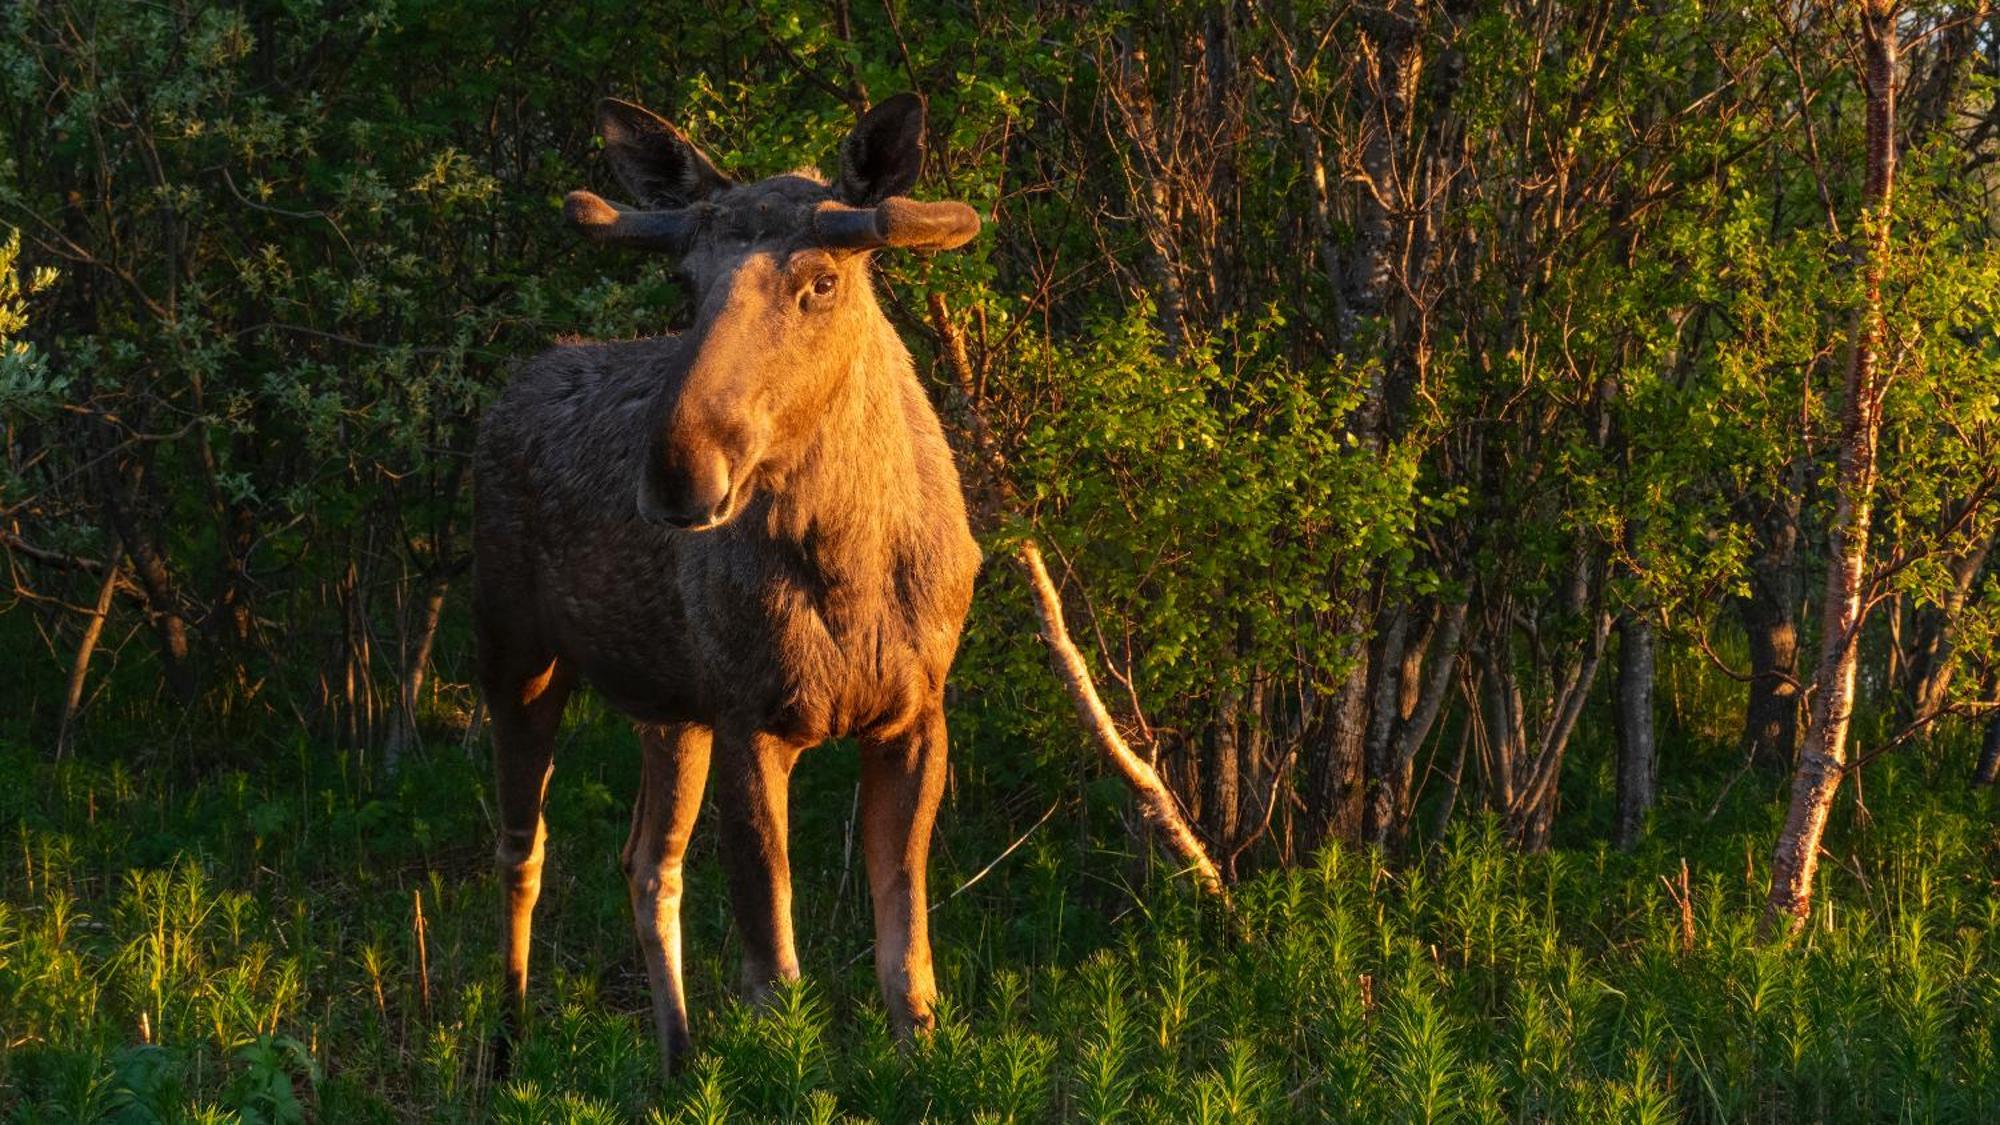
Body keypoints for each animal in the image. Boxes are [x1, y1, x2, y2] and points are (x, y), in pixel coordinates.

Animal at [478, 96, 992, 1064]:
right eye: (687, 284)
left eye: (821, 281)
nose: (678, 470)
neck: (851, 569)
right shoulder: (754, 720)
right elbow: (774, 976)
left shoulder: (914, 715)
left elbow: (908, 968)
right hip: (515, 654)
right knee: (522, 848)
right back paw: (506, 1045)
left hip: (668, 708)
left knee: (648, 861)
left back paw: (677, 1056)